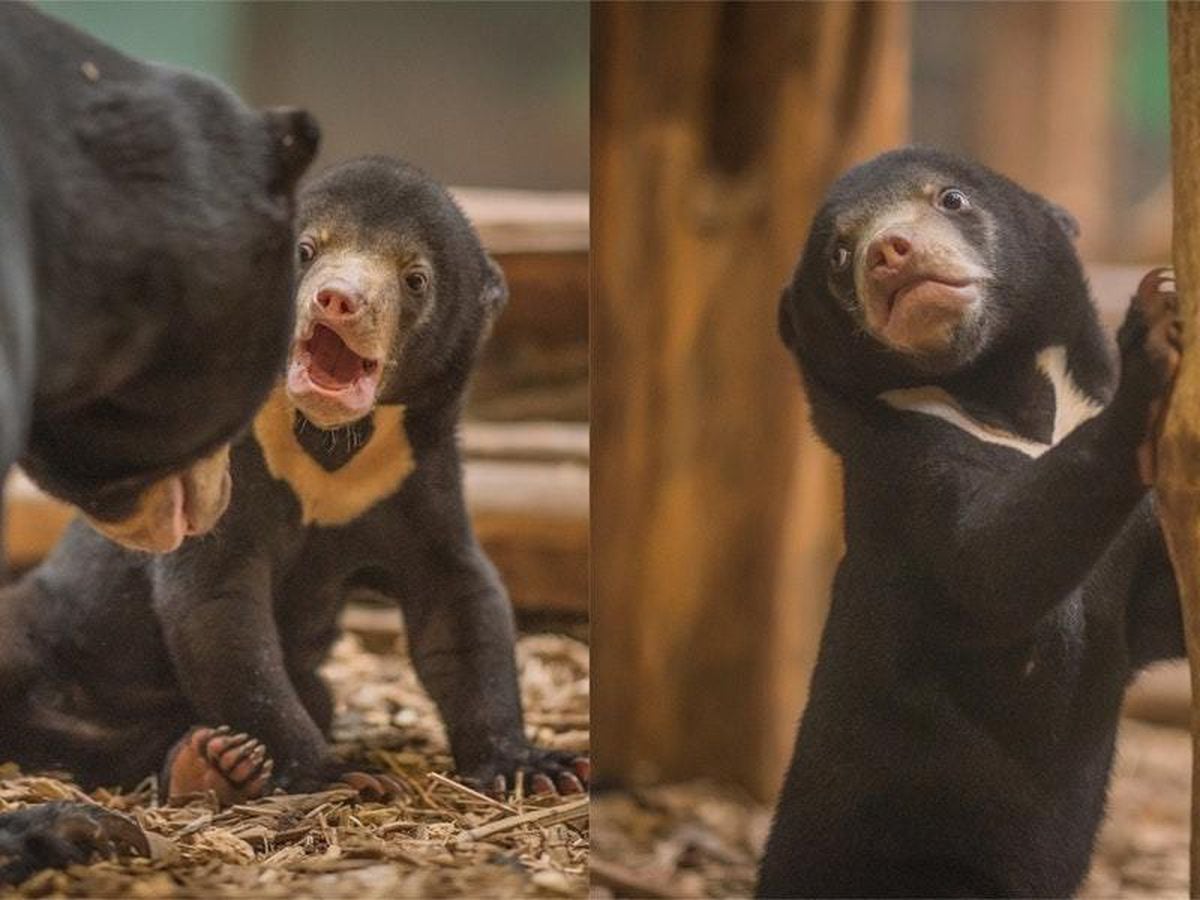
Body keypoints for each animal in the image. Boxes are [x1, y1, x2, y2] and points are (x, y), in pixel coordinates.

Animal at [758, 150, 1180, 900]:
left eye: (950, 198)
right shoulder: (909, 484)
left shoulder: (1132, 584)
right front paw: (1153, 326)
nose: (890, 254)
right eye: (838, 254)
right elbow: (995, 563)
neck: (1006, 403)